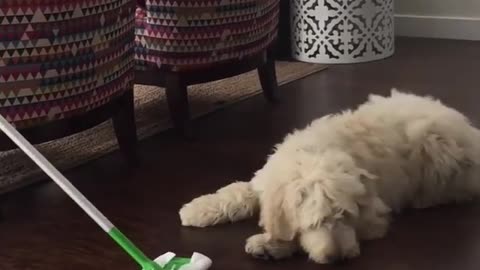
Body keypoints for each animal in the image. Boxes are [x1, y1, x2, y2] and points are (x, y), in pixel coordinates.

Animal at [178, 90, 480, 264]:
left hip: (436, 153)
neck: (313, 157)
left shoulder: (376, 214)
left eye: (346, 217)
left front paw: (270, 244)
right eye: (317, 222)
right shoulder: (266, 182)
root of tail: (470, 131)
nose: (336, 258)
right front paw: (196, 210)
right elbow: (238, 191)